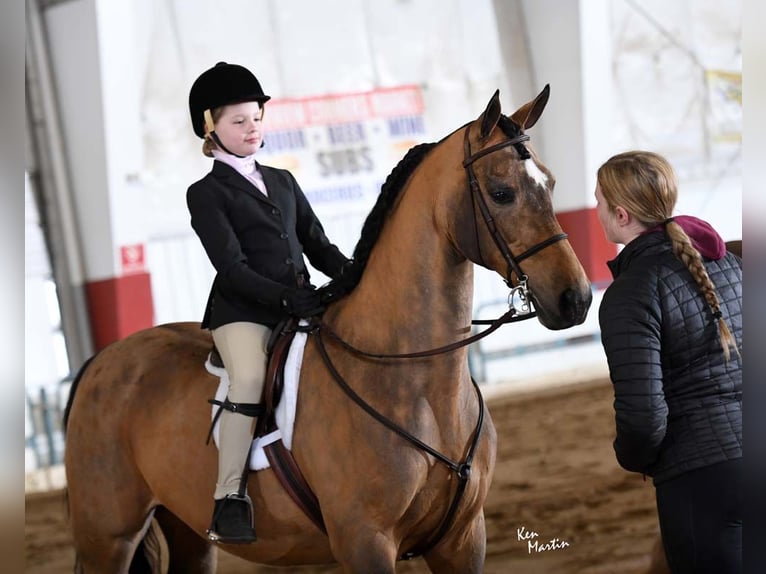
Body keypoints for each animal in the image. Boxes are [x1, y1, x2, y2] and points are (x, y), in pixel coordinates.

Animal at [64, 86, 592, 574]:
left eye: (550, 182)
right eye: (502, 193)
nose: (577, 298)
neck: (414, 380)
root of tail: (102, 360)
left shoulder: (462, 539)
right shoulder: (365, 542)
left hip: (187, 531)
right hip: (108, 538)